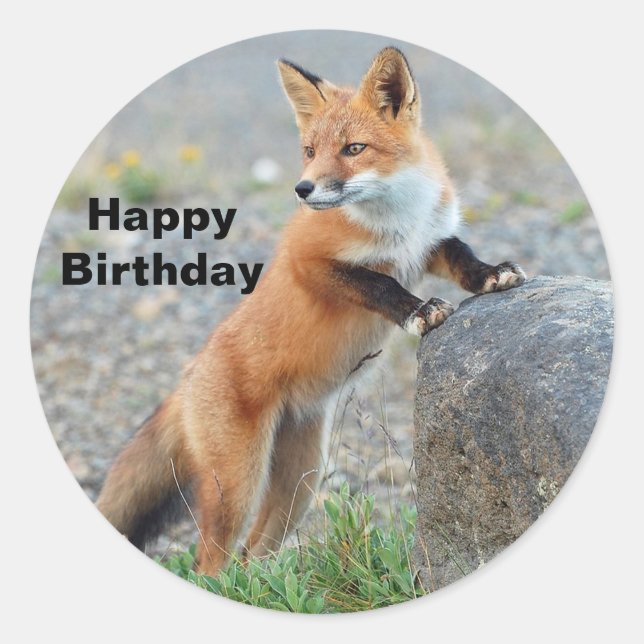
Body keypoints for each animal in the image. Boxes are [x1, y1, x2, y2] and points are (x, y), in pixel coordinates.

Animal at [96, 47, 526, 577]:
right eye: (309, 150)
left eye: (354, 148)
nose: (302, 189)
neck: (396, 221)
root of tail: (188, 377)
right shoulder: (310, 262)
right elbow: (379, 283)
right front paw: (418, 311)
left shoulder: (429, 242)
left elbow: (463, 255)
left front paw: (491, 276)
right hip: (236, 484)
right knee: (211, 564)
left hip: (300, 480)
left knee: (252, 554)